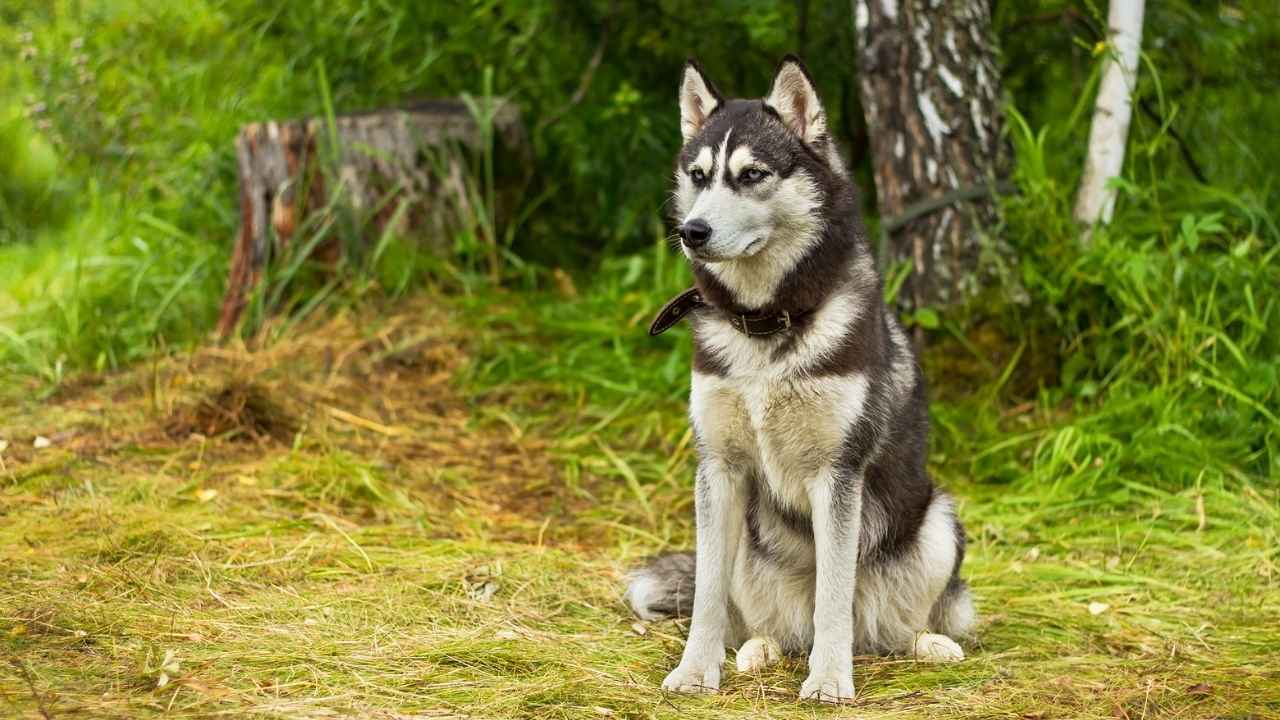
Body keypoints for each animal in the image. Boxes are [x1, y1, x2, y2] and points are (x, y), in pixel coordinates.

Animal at [624, 57, 972, 702]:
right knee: (768, 624)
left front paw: (830, 680)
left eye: (752, 174)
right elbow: (708, 597)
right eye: (699, 175)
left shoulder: (837, 475)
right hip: (748, 544)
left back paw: (928, 645)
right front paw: (695, 670)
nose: (692, 231)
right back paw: (757, 650)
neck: (766, 322)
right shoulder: (719, 468)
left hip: (937, 522)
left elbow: (833, 596)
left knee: (897, 622)